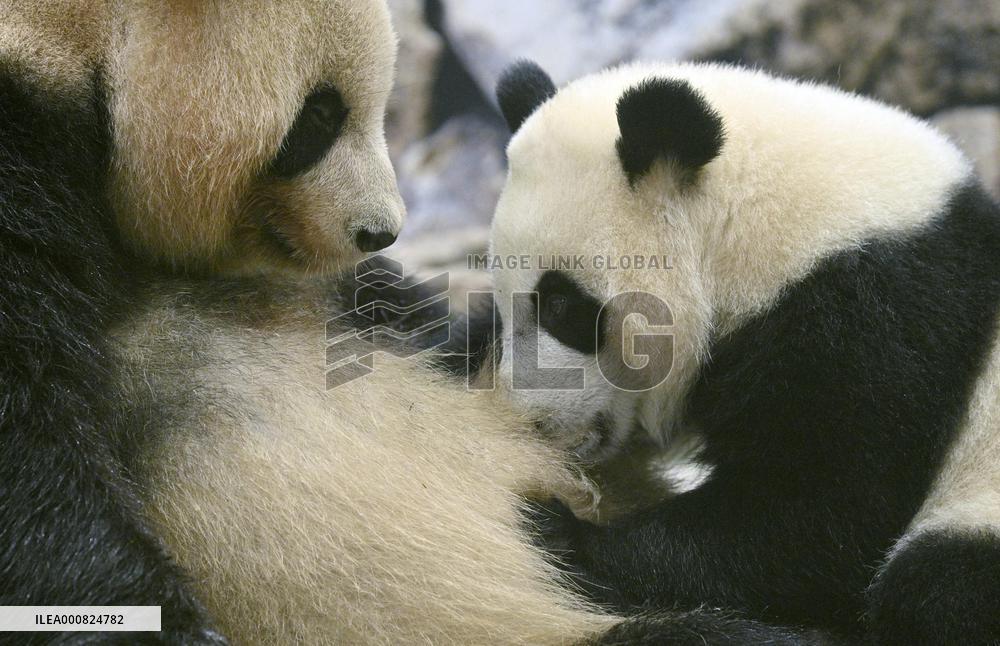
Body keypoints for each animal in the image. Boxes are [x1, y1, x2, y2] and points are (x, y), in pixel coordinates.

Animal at [488, 60, 1000, 643]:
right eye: (501, 305)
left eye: (559, 305)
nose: (527, 420)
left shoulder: (874, 317)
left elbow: (818, 517)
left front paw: (559, 536)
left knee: (938, 585)